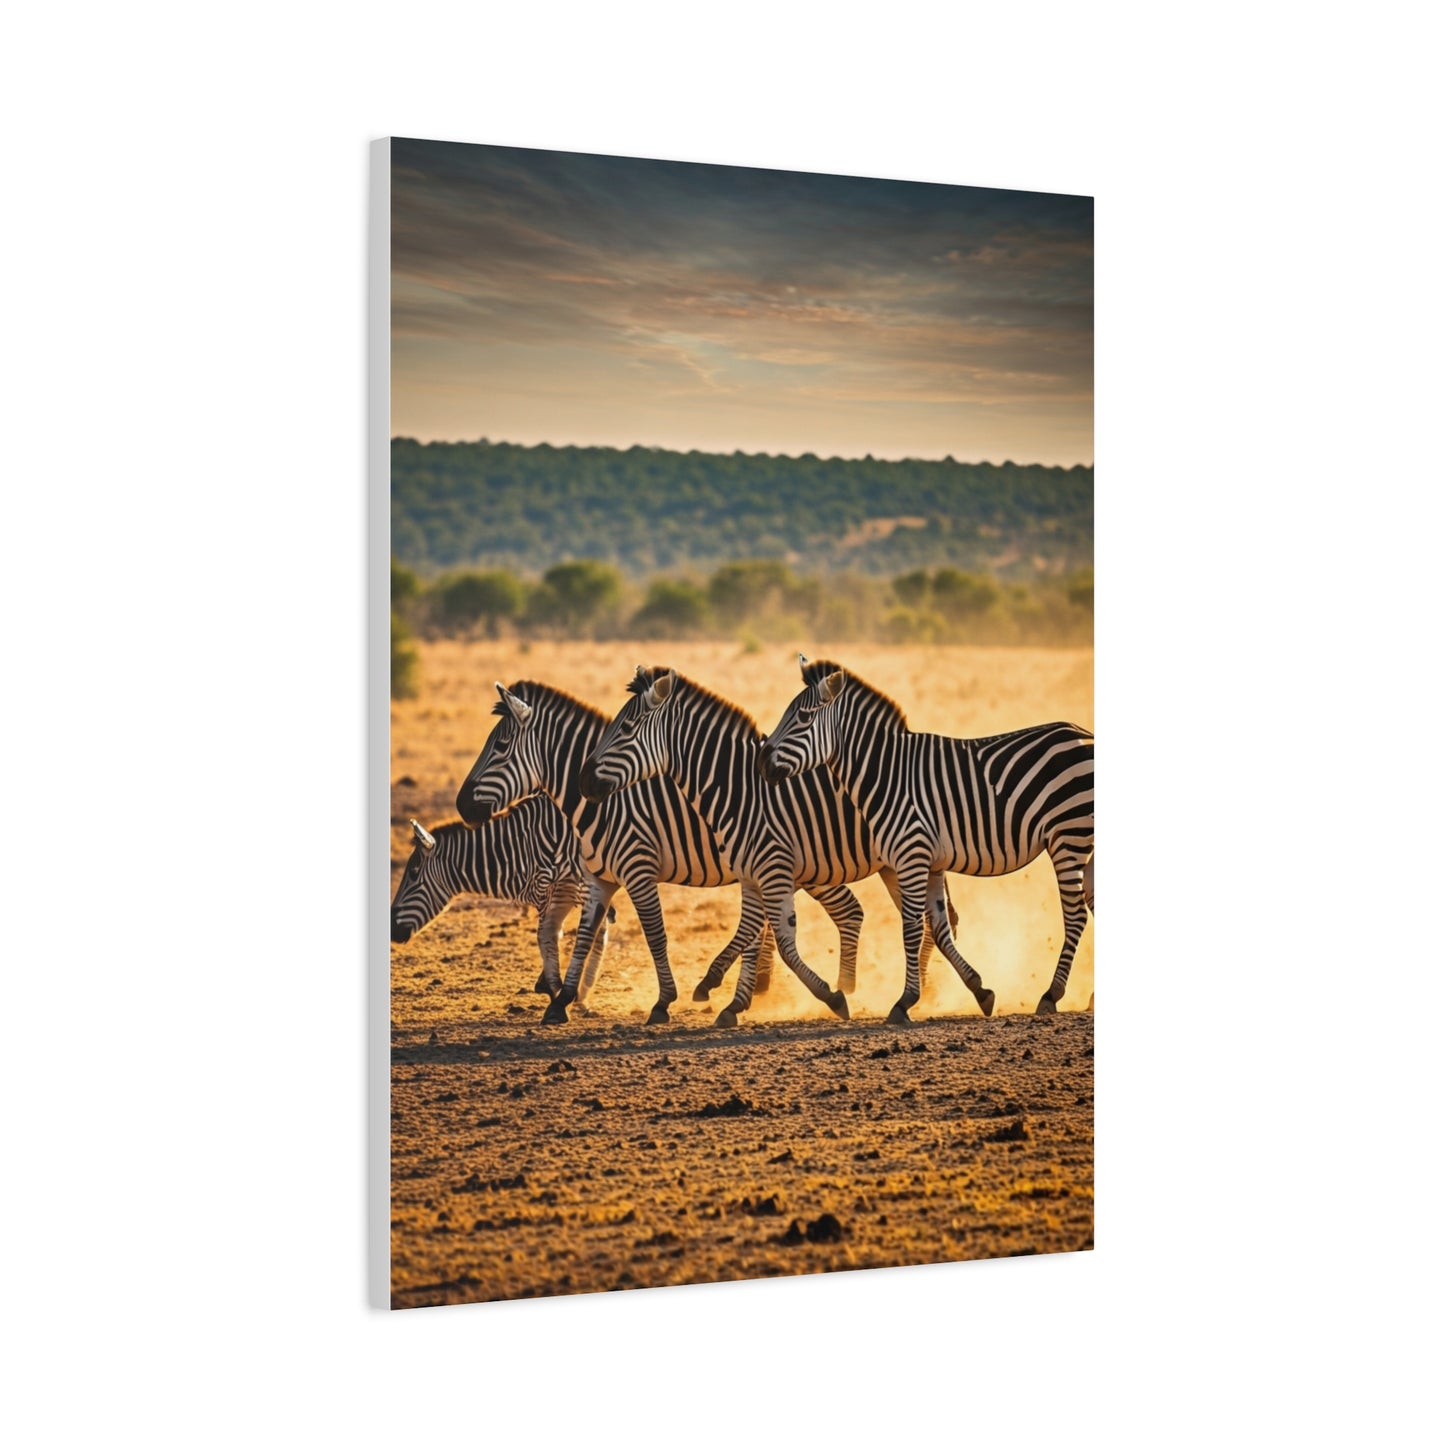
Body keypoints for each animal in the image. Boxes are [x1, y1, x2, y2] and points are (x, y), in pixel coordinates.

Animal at [390, 799, 611, 1005]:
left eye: (413, 873)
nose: (392, 931)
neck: (523, 849)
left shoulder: (563, 886)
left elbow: (555, 933)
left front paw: (561, 989)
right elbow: (569, 931)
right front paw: (570, 991)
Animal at [455, 681, 875, 1025]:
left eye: (500, 748)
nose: (460, 806)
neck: (605, 804)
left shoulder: (637, 869)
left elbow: (655, 933)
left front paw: (663, 1003)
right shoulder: (600, 877)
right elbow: (585, 935)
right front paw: (561, 1003)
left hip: (810, 863)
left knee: (844, 911)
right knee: (836, 912)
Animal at [577, 666, 972, 1029]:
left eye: (626, 729)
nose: (584, 781)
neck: (738, 787)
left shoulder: (753, 865)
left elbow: (757, 936)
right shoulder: (753, 871)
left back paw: (917, 992)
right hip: (892, 864)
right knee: (926, 917)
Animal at [759, 656, 1094, 1020]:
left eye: (803, 718)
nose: (760, 763)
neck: (886, 773)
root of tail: (1085, 735)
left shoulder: (912, 855)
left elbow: (911, 928)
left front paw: (904, 1001)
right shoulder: (931, 862)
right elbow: (940, 928)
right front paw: (981, 991)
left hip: (1068, 836)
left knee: (1076, 915)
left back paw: (1051, 995)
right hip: (1085, 841)